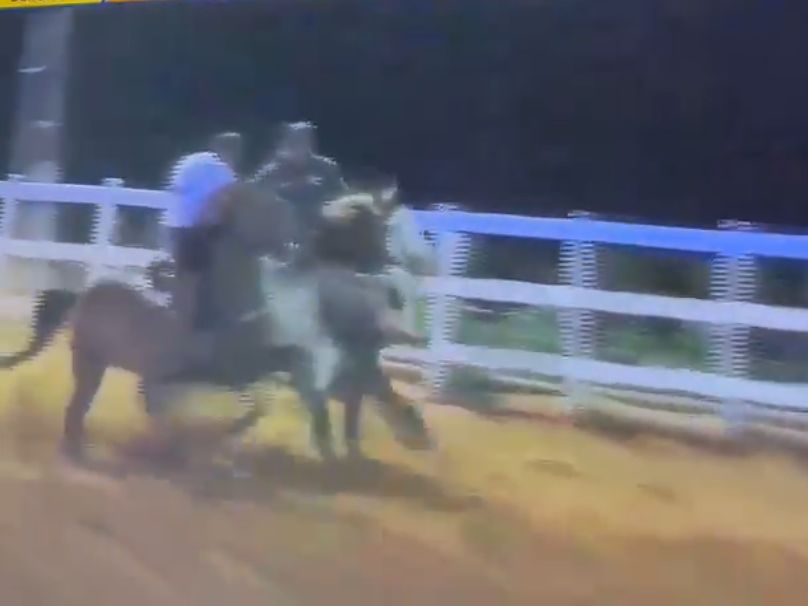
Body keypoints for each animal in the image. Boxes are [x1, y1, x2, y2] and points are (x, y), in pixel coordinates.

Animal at [2, 183, 431, 463]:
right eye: (386, 225)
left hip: (97, 364)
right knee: (107, 404)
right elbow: (295, 405)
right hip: (95, 362)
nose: (401, 264)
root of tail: (85, 292)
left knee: (95, 406)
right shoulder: (272, 366)